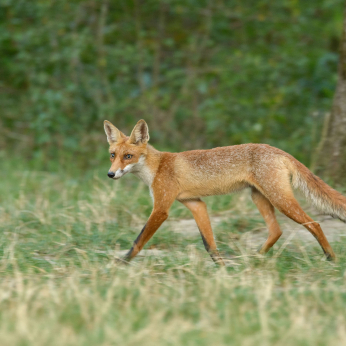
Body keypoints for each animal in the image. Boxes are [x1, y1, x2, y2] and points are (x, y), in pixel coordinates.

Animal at [103, 119, 346, 264]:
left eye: (128, 156)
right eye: (112, 155)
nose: (110, 174)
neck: (157, 167)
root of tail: (278, 150)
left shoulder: (161, 208)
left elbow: (139, 240)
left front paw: (122, 262)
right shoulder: (195, 203)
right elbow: (209, 244)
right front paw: (221, 267)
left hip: (280, 200)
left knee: (314, 224)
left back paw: (331, 257)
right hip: (259, 197)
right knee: (276, 231)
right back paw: (255, 259)